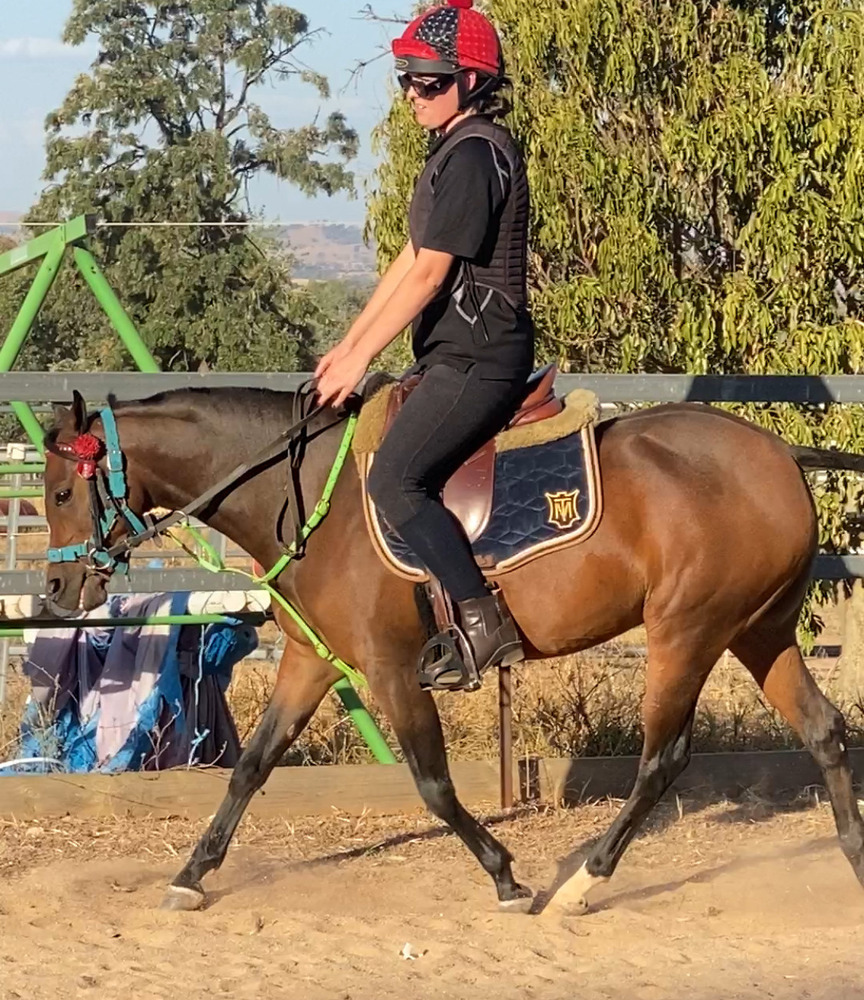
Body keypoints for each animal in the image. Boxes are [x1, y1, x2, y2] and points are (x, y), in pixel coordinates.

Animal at [41, 381, 864, 916]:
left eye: (59, 494)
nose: (55, 587)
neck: (307, 493)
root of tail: (777, 455)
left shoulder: (392, 669)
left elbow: (433, 786)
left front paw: (507, 878)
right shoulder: (311, 664)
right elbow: (251, 768)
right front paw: (193, 873)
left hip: (686, 632)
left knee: (663, 761)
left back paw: (582, 884)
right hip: (758, 631)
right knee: (824, 729)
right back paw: (853, 857)